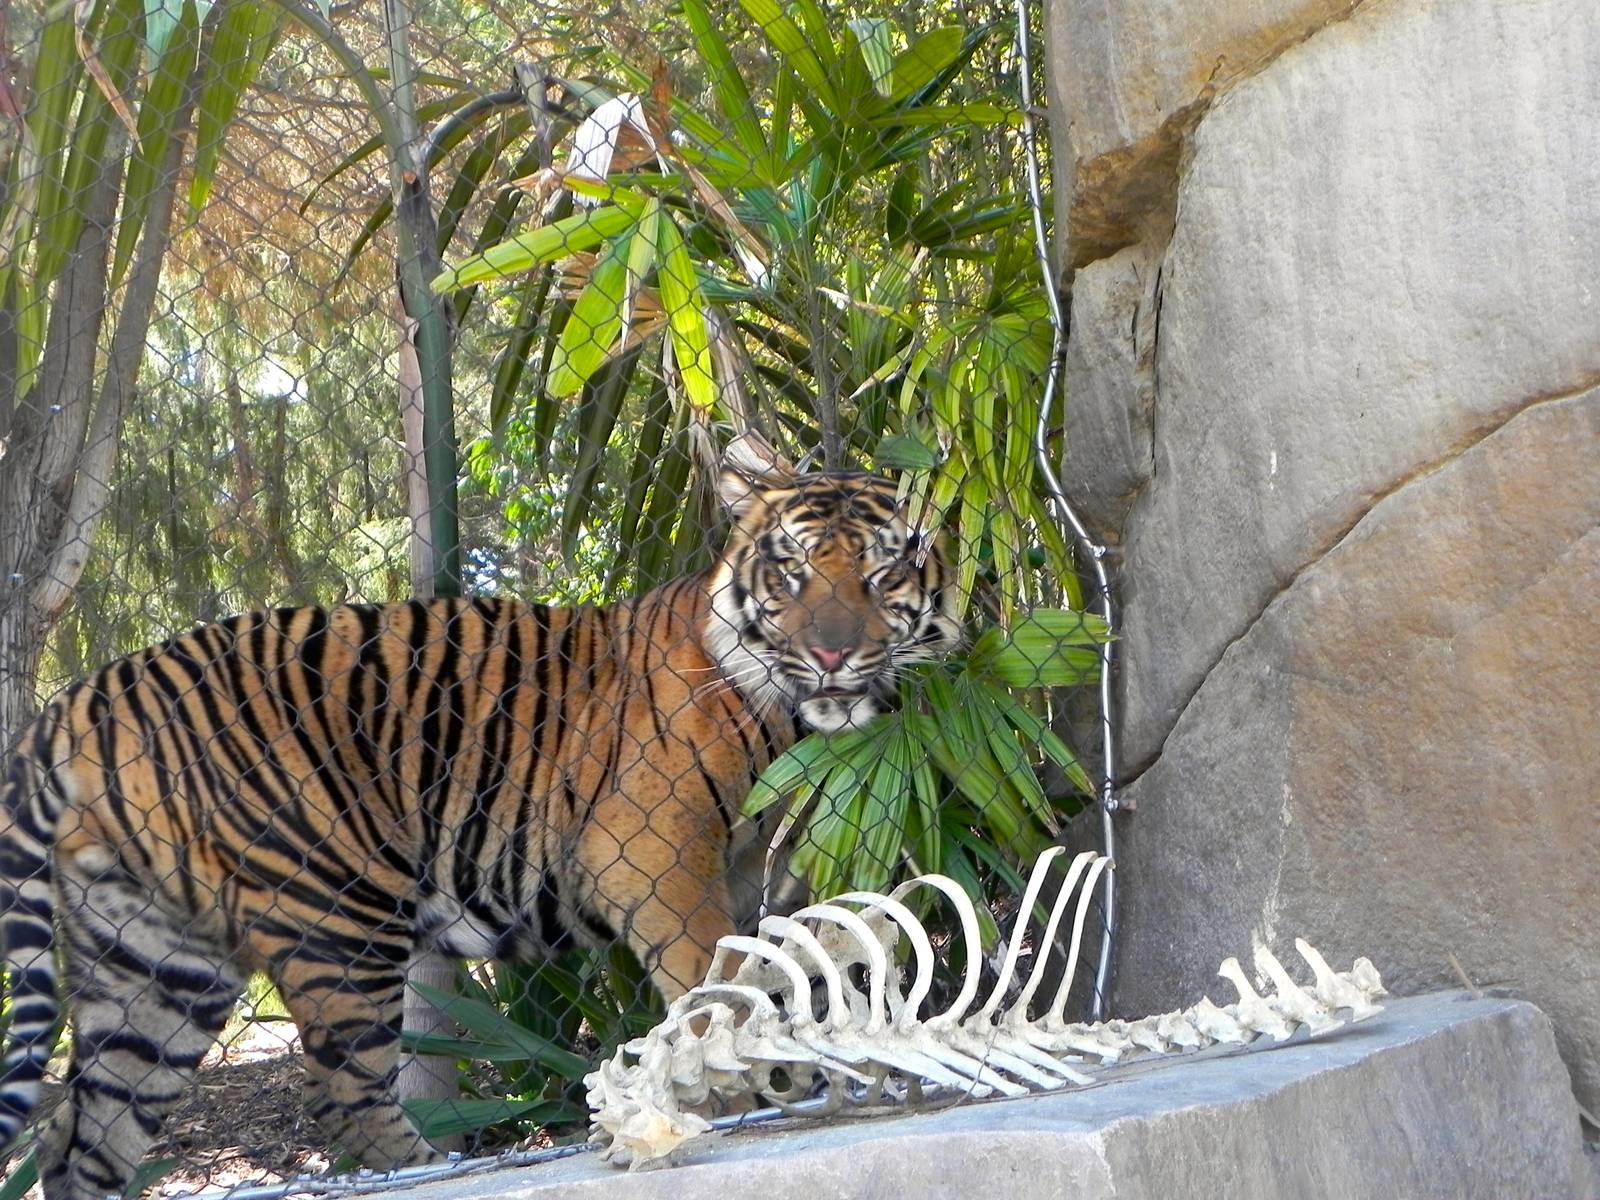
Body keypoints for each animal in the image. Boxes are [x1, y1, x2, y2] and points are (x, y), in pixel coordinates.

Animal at [0, 436, 961, 1200]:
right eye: (792, 570)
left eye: (881, 573)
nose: (832, 652)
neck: (795, 723)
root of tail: (77, 702)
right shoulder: (652, 848)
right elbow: (710, 975)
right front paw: (736, 1090)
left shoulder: (769, 862)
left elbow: (789, 966)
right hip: (335, 913)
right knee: (339, 1095)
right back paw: (441, 1166)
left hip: (158, 967)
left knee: (85, 1133)